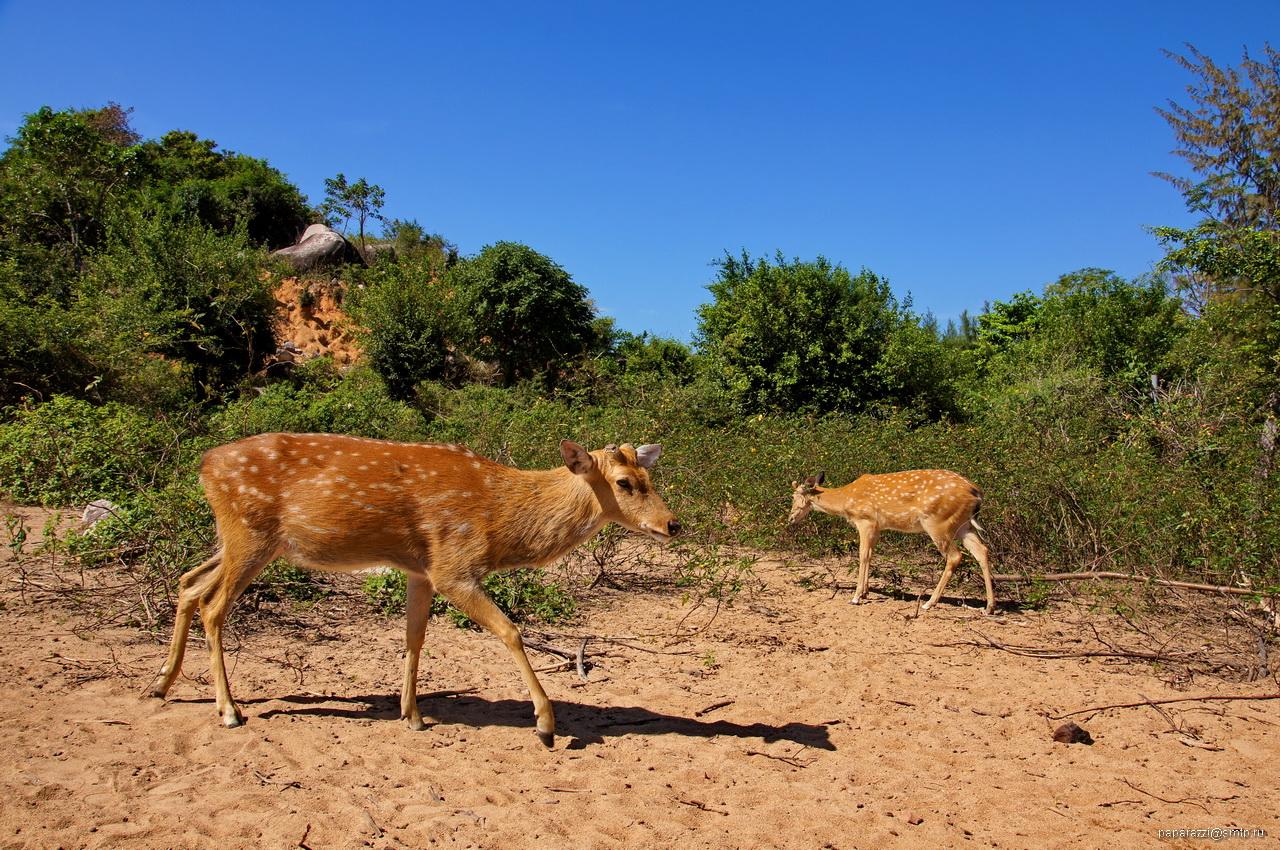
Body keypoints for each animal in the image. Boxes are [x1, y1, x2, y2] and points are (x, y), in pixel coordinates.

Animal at [148, 435, 680, 747]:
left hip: (241, 539)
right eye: (624, 482)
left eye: (649, 477)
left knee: (189, 583)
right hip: (250, 532)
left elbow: (414, 638)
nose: (673, 524)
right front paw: (546, 724)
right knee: (213, 605)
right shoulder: (453, 563)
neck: (499, 517)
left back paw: (160, 685)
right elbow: (510, 630)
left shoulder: (420, 569)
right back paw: (229, 711)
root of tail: (204, 464)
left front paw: (413, 716)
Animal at [783, 468, 993, 614]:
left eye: (794, 496)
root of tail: (977, 493)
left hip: (938, 523)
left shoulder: (866, 520)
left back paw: (929, 603)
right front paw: (866, 592)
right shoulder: (878, 527)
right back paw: (989, 607)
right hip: (964, 525)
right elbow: (871, 555)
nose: (791, 518)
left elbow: (862, 555)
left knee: (955, 556)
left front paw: (856, 596)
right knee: (982, 550)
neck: (846, 501)